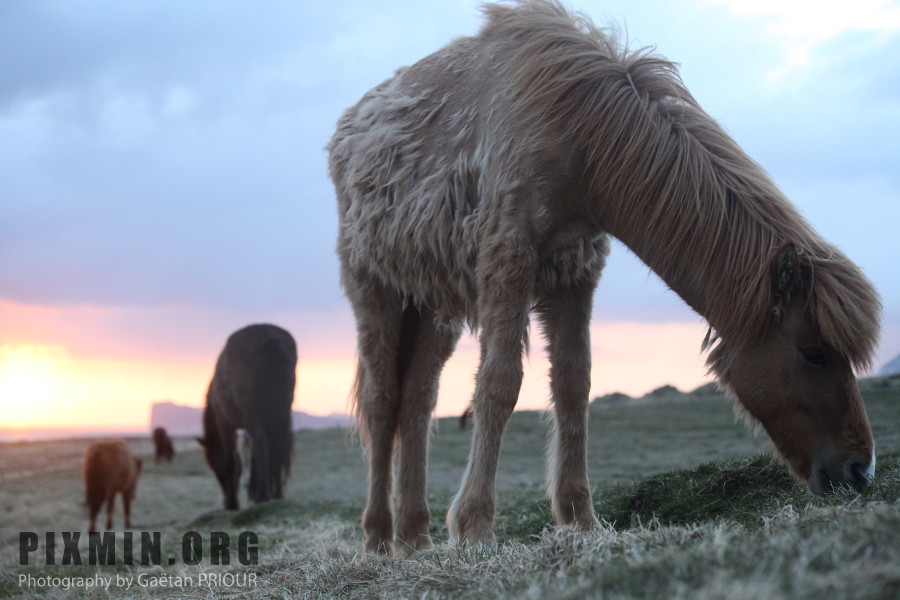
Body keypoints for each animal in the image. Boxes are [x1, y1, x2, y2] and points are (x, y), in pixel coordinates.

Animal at [199, 324, 298, 510]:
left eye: (217, 470)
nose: (225, 502)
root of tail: (268, 336)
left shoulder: (225, 424)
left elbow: (231, 461)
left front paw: (234, 503)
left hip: (253, 410)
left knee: (261, 442)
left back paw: (262, 496)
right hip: (281, 410)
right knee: (277, 445)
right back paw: (276, 494)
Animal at [326, 0, 884, 556]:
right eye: (813, 352)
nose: (861, 470)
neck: (576, 129)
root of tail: (348, 130)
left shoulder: (575, 273)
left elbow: (574, 384)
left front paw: (580, 519)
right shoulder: (508, 257)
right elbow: (500, 382)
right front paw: (476, 526)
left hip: (432, 305)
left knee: (417, 400)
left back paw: (415, 537)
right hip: (374, 291)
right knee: (382, 402)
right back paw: (378, 536)